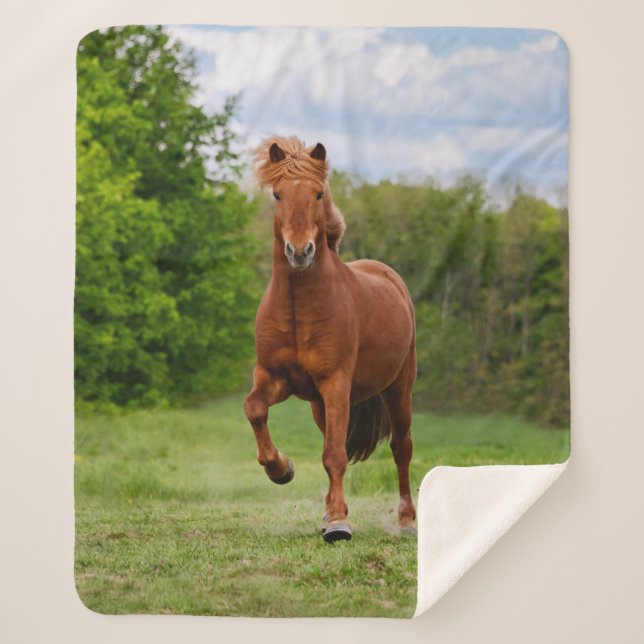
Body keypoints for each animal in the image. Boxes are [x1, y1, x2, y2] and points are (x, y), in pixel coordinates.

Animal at [243, 136, 417, 542]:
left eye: (318, 194)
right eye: (277, 194)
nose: (300, 251)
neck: (298, 308)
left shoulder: (336, 382)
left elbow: (335, 454)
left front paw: (338, 524)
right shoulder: (273, 377)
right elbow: (255, 409)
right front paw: (282, 469)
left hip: (398, 389)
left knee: (401, 447)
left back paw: (406, 520)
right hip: (319, 406)